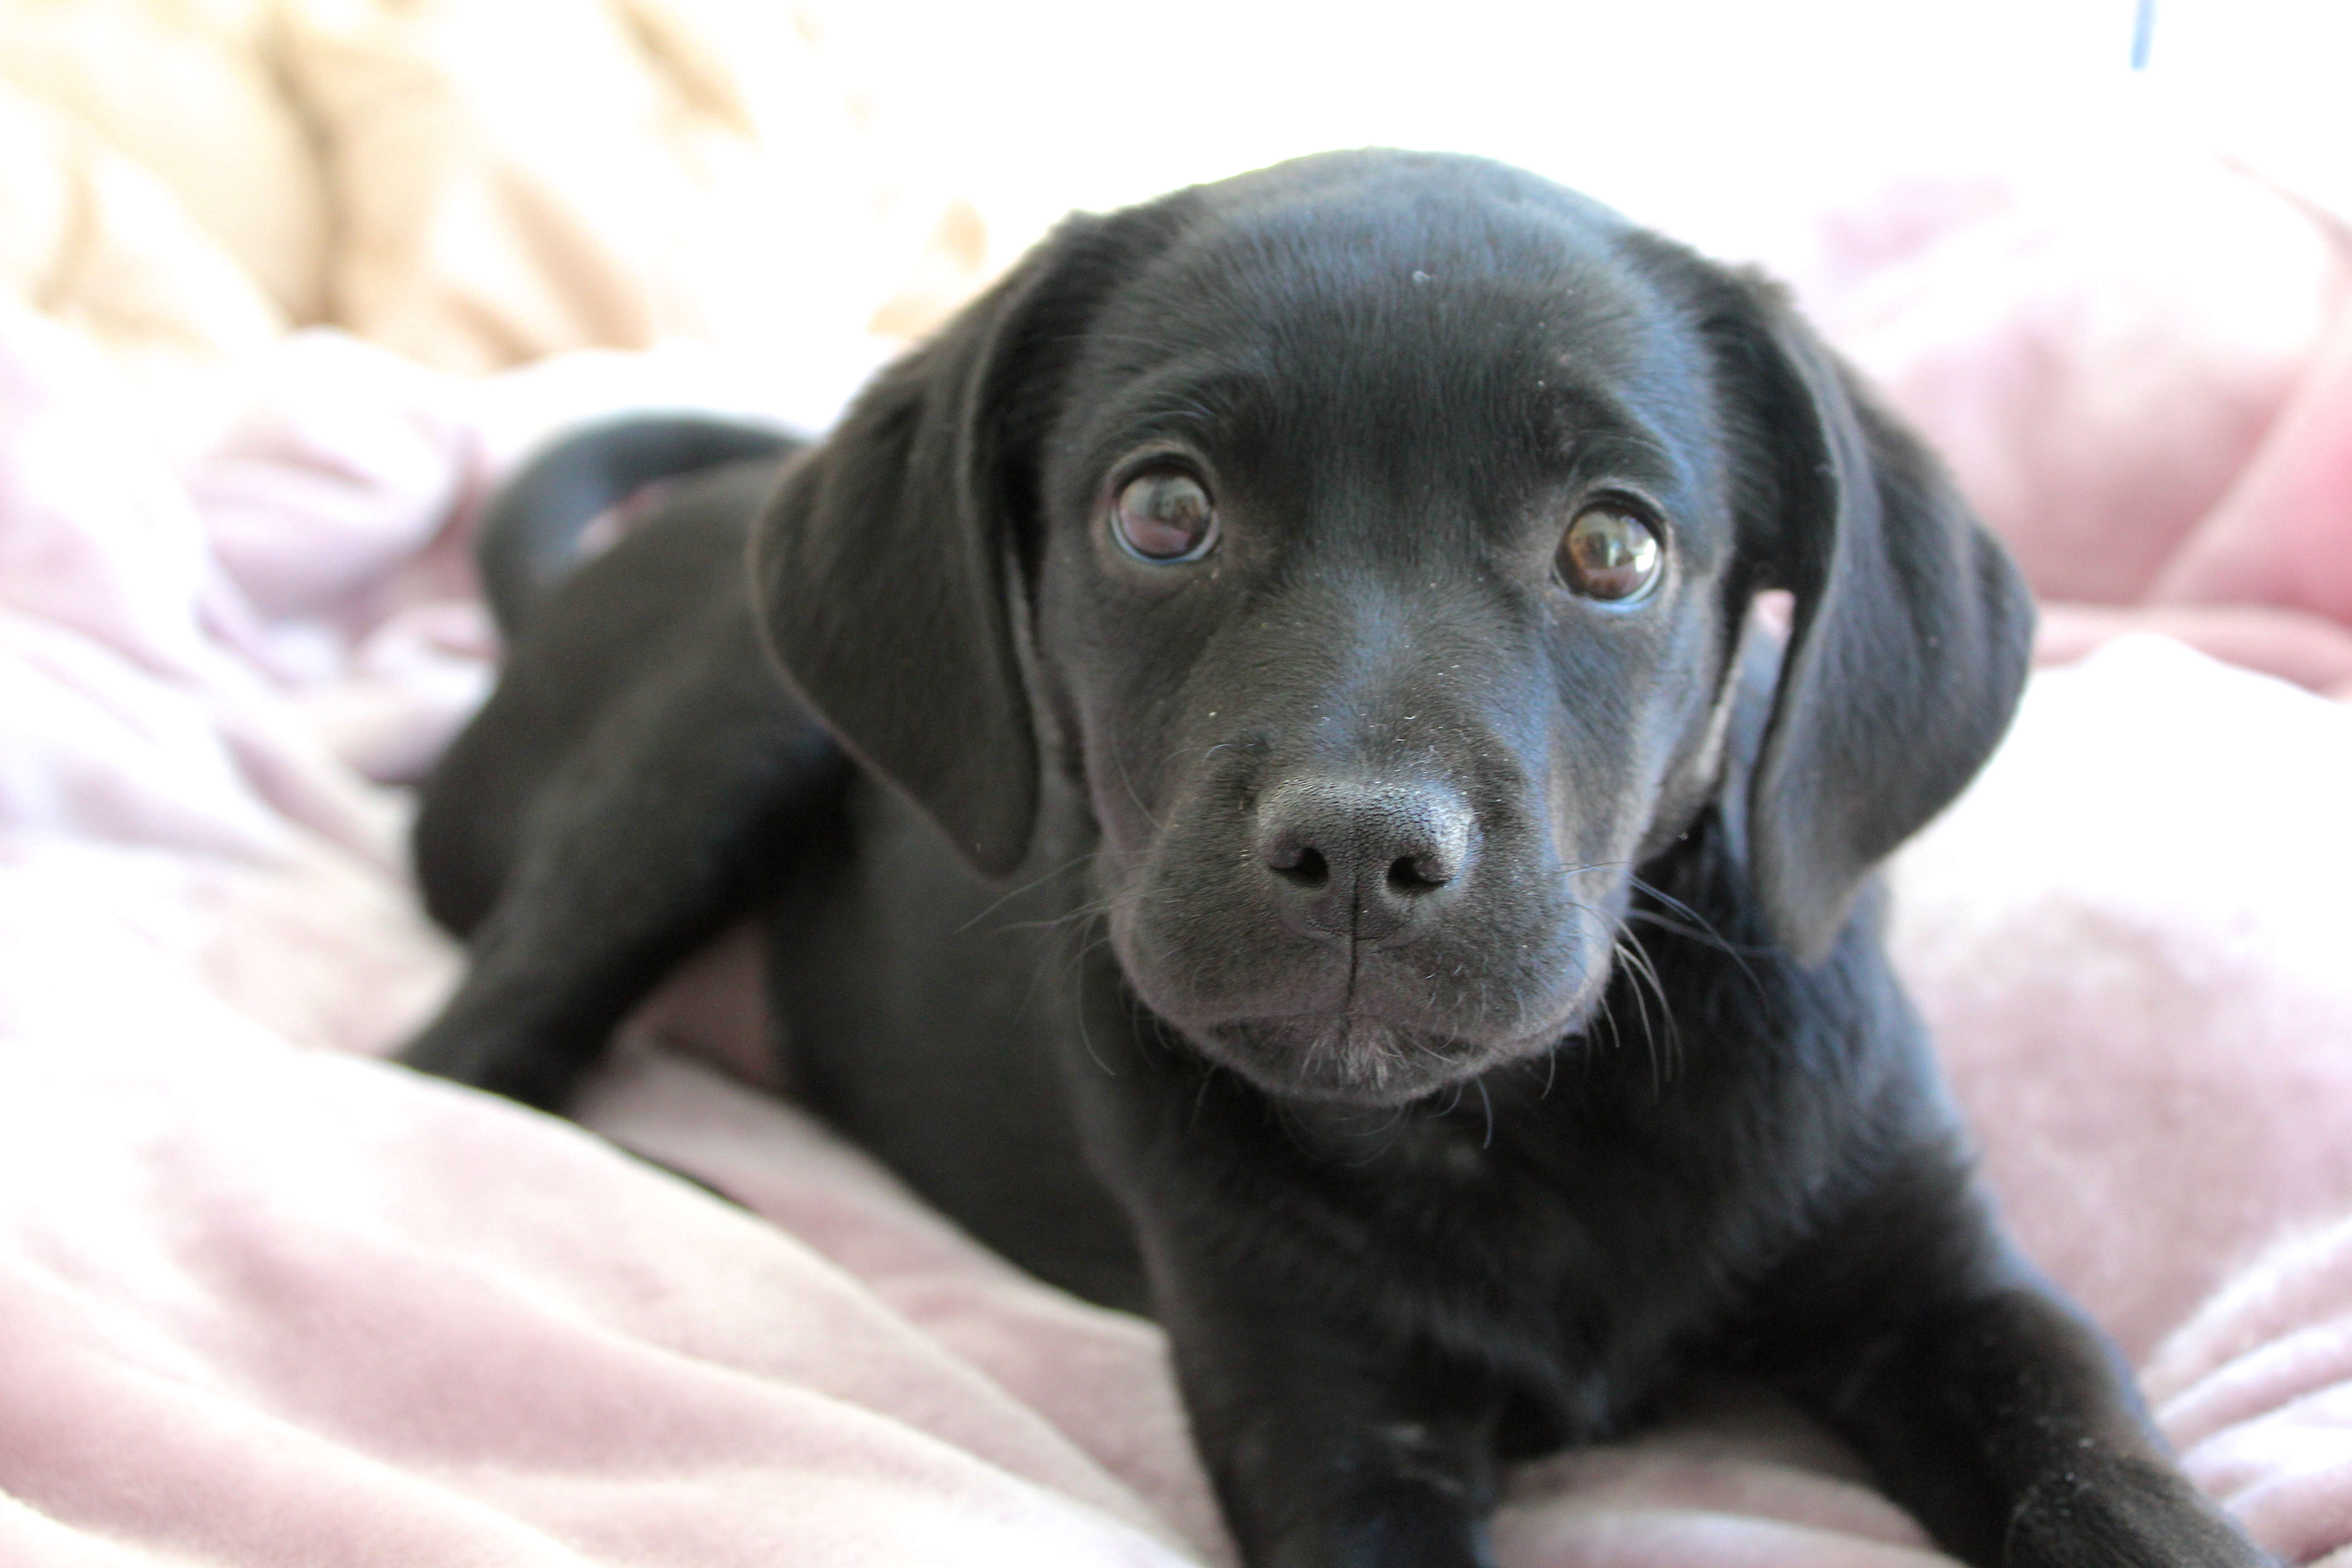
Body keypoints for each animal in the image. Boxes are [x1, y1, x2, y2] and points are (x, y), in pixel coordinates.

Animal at [414, 150, 2267, 1568]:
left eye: (1614, 547)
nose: (1367, 846)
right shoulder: (1325, 1411)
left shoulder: (1949, 1289)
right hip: (718, 745)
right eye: (1162, 511)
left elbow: (2102, 1467)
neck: (1525, 1128)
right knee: (461, 1065)